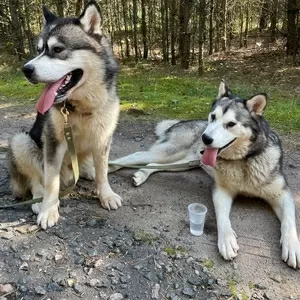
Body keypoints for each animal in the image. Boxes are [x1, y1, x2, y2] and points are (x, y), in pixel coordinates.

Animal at [7, 0, 122, 230]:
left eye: (57, 49)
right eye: (38, 50)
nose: (26, 69)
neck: (81, 107)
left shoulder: (103, 138)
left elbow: (103, 172)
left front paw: (105, 194)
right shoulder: (53, 141)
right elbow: (50, 181)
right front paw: (49, 210)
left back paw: (88, 171)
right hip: (21, 141)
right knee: (36, 178)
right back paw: (38, 198)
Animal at [109, 81, 300, 268]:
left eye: (231, 124)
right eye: (213, 117)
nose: (205, 138)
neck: (243, 161)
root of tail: (182, 121)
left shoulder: (282, 193)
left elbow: (289, 221)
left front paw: (292, 245)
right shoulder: (221, 190)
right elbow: (222, 218)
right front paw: (227, 240)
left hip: (182, 163)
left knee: (152, 165)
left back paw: (141, 174)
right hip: (169, 152)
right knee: (137, 156)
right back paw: (107, 168)